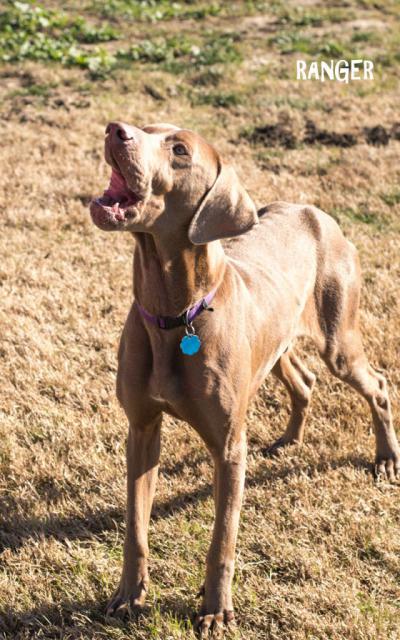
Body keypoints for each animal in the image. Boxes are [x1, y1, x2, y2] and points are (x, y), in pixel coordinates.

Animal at [89, 121, 398, 636]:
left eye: (179, 150)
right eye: (146, 126)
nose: (117, 129)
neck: (175, 316)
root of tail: (315, 211)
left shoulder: (230, 447)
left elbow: (223, 538)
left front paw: (215, 610)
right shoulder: (142, 428)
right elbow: (135, 525)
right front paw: (128, 596)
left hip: (339, 339)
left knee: (377, 384)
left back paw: (386, 458)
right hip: (277, 344)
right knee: (305, 381)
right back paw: (289, 440)